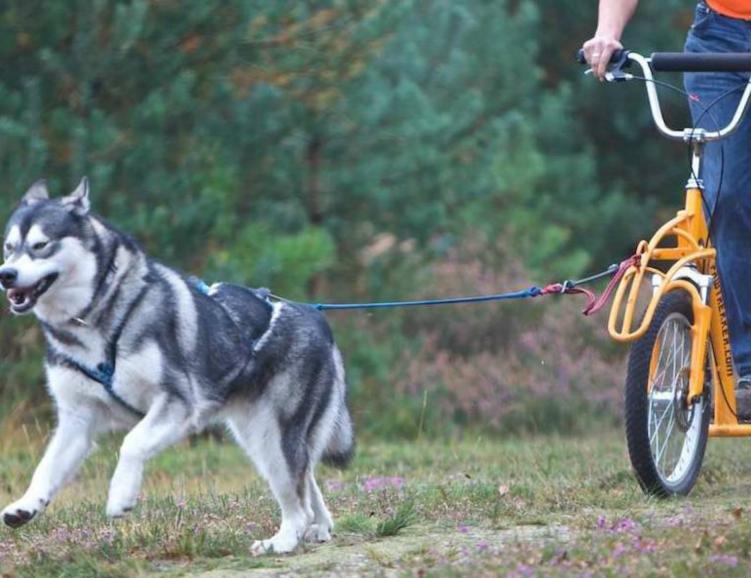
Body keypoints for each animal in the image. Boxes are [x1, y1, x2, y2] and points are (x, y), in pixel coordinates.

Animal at [0, 177, 356, 552]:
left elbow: (132, 443)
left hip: (274, 434)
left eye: (40, 245)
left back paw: (284, 540)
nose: (6, 274)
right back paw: (319, 526)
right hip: (260, 439)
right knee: (307, 480)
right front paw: (25, 505)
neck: (94, 321)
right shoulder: (77, 419)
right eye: (8, 247)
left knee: (298, 498)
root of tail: (316, 318)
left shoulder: (177, 404)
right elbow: (45, 468)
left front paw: (120, 495)